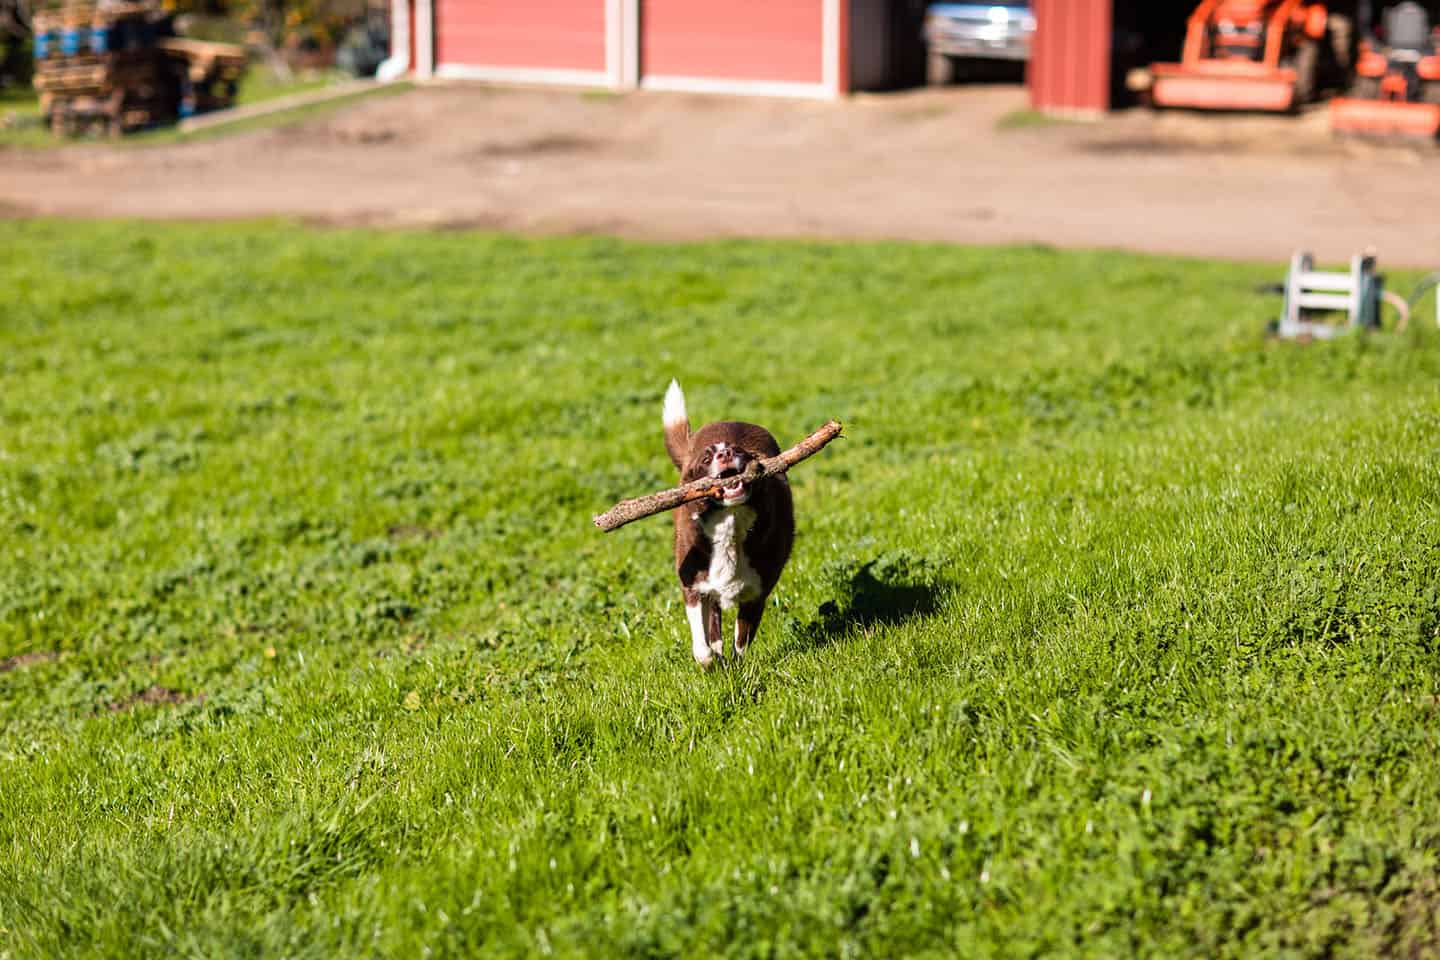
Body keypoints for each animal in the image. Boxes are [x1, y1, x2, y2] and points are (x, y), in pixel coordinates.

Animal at [665, 379, 800, 667]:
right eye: (706, 460)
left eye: (738, 452)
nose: (726, 452)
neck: (731, 521)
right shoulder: (693, 586)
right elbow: (702, 648)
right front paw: (712, 663)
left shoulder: (758, 592)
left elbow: (742, 641)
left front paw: (738, 667)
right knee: (713, 623)